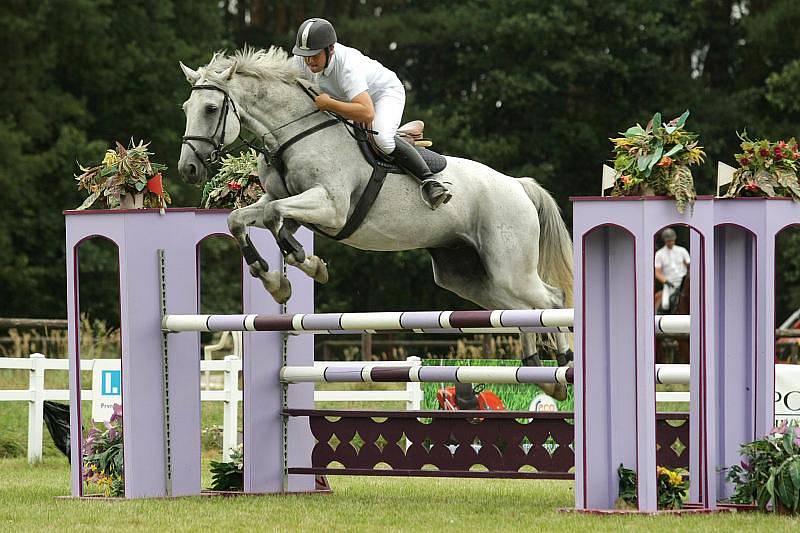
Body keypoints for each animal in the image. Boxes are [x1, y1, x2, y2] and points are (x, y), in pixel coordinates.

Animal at [177, 48, 572, 394]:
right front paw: (277, 280)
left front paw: (305, 265)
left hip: (510, 267)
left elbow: (278, 220)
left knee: (549, 301)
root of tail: (519, 185)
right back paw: (541, 374)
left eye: (211, 108)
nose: (188, 169)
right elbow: (238, 219)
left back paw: (564, 361)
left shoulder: (331, 207)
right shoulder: (277, 201)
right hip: (468, 277)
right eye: (186, 108)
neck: (293, 135)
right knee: (520, 310)